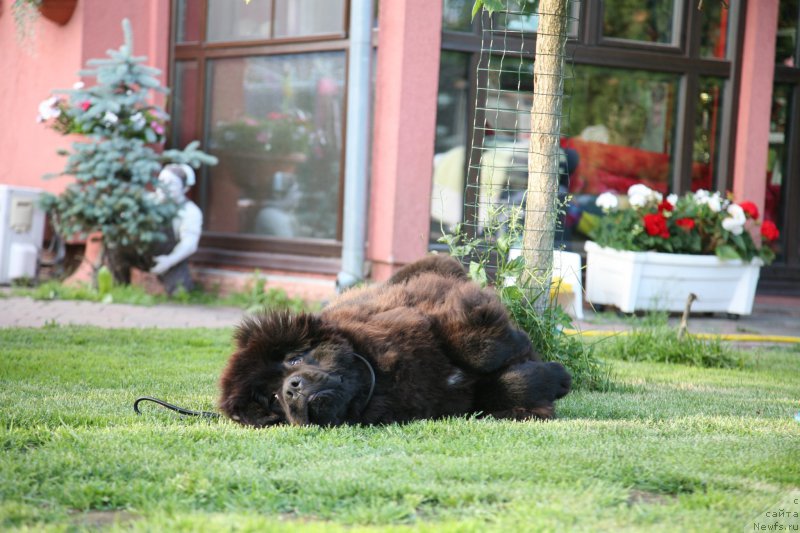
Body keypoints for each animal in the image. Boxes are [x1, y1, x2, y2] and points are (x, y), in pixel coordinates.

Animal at [219, 256, 568, 426]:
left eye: (293, 359)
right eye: (272, 399)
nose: (291, 388)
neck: (377, 379)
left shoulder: (435, 305)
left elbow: (478, 347)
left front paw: (537, 359)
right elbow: (500, 389)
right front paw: (551, 380)